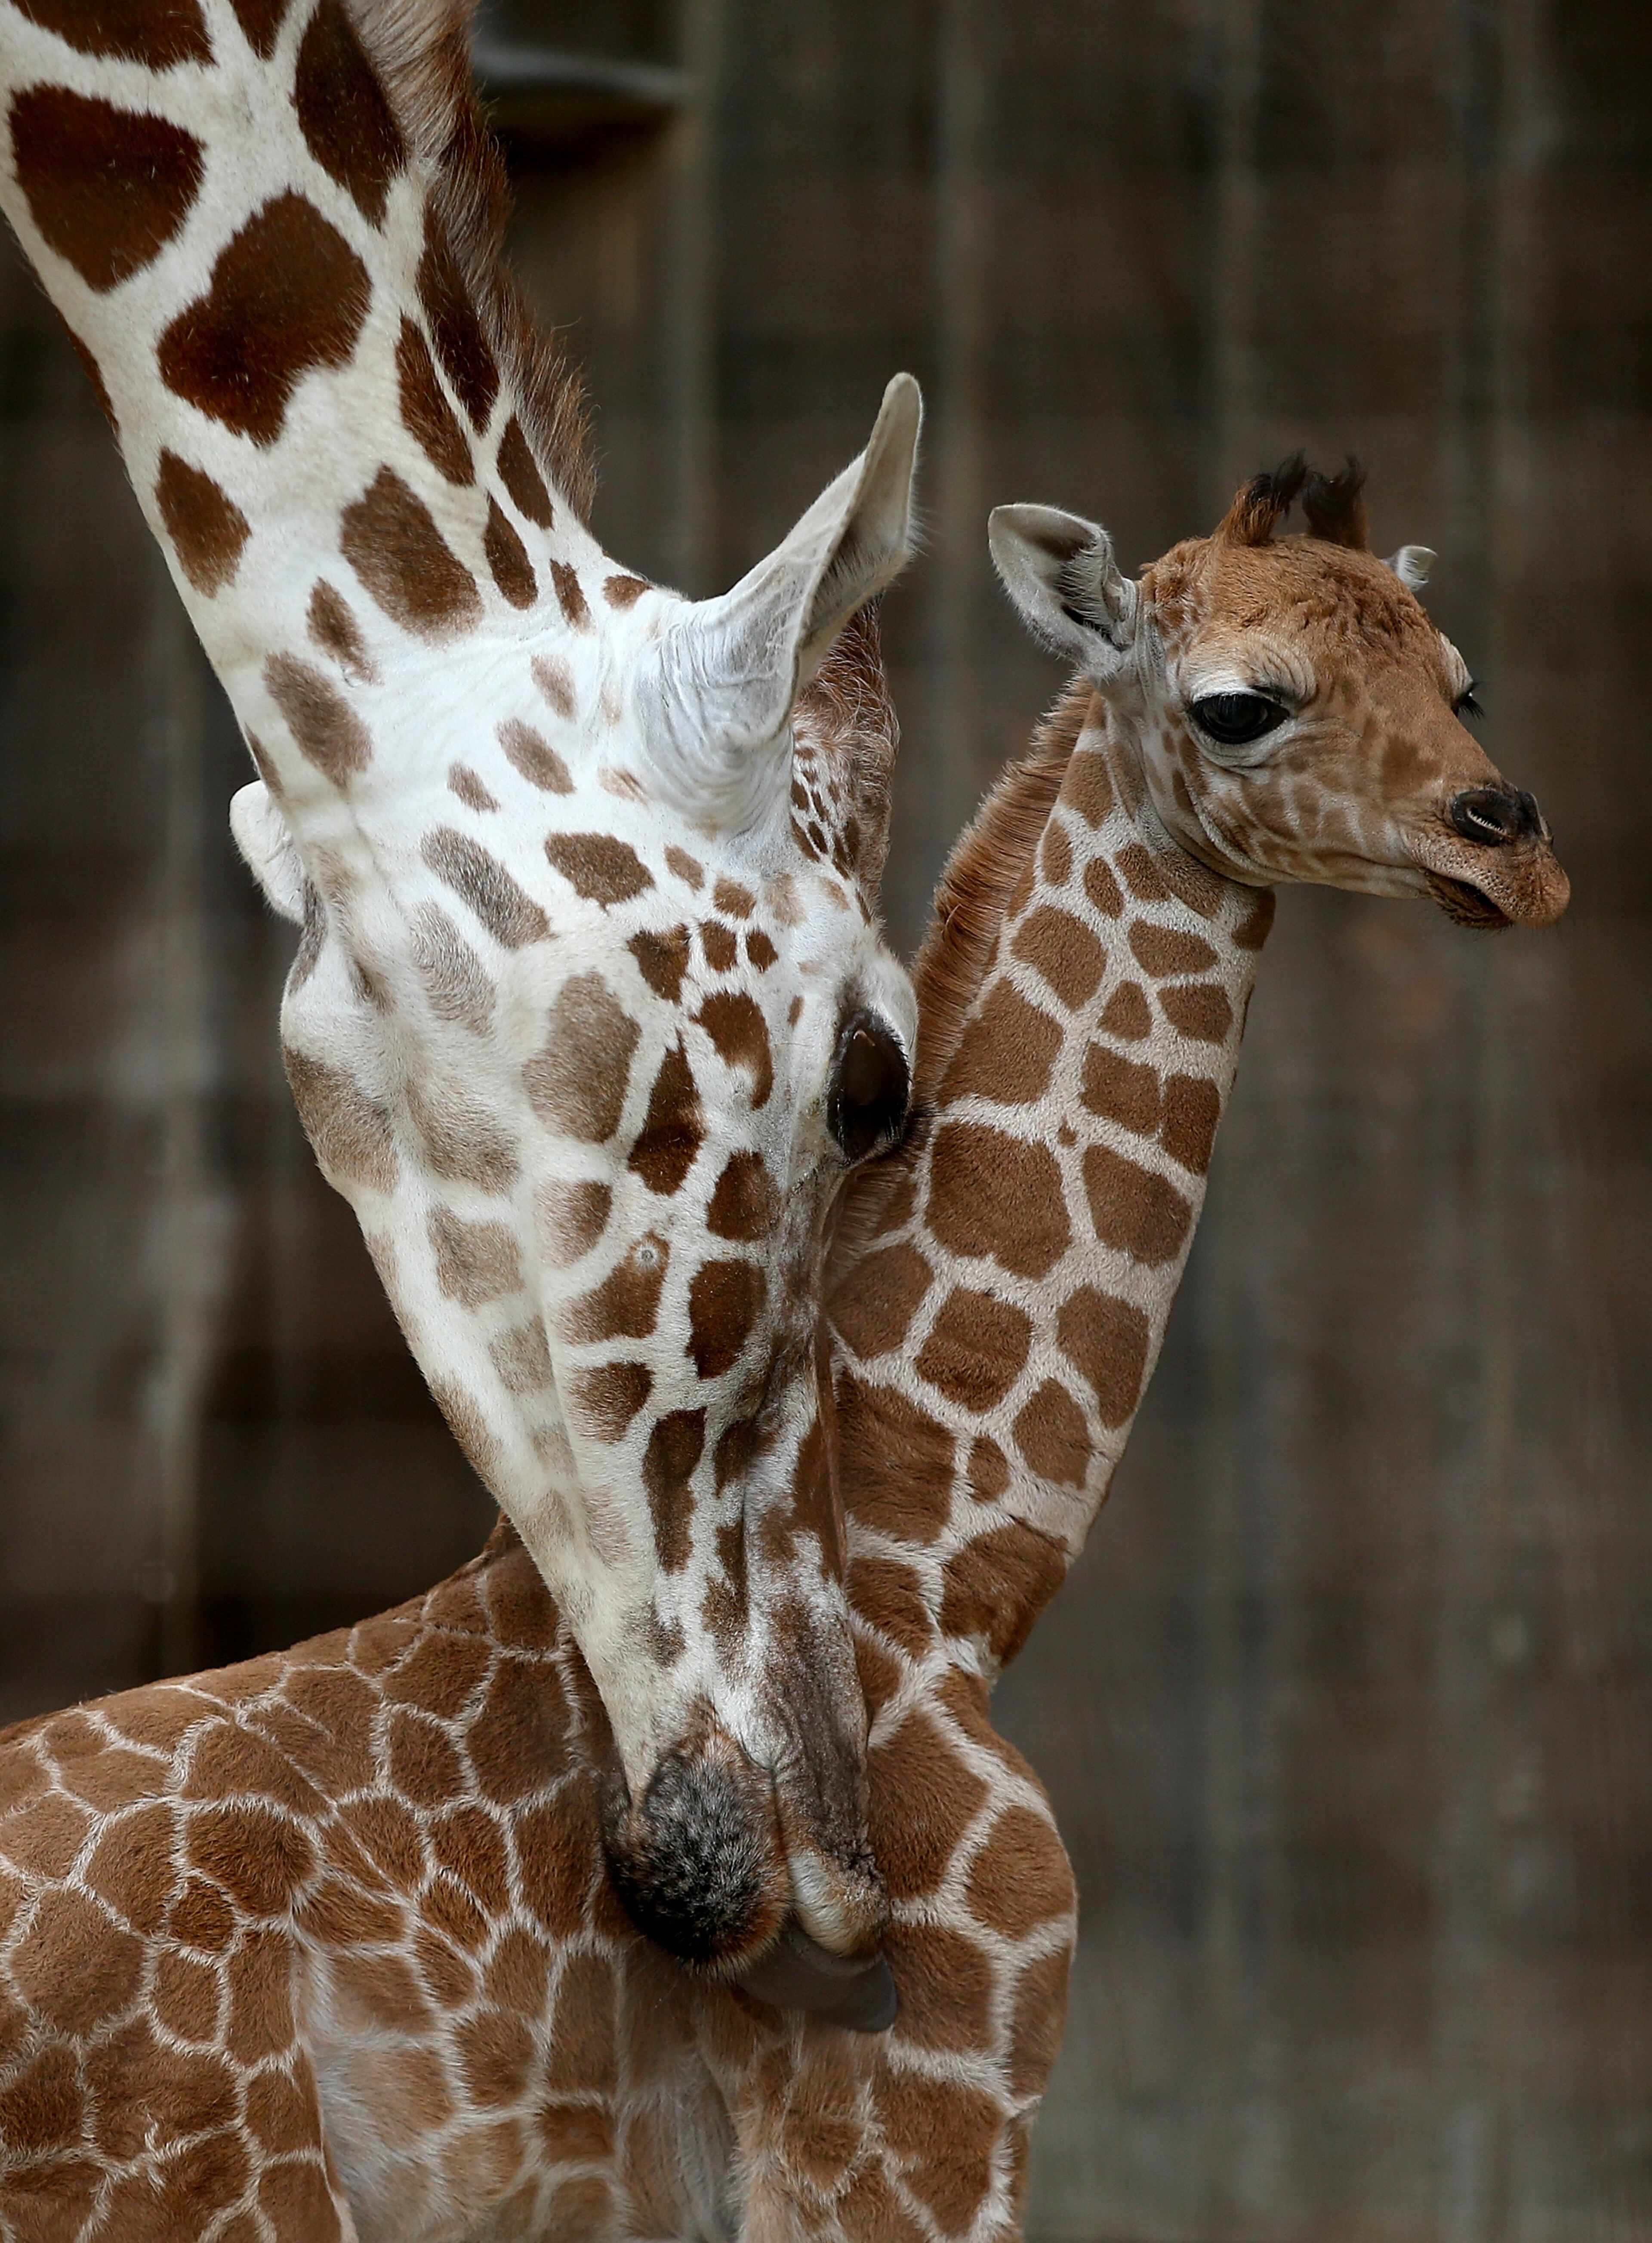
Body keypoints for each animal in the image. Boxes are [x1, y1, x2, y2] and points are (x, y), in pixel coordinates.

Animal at [0, 461, 1569, 2241]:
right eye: (1239, 703)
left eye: (1462, 682)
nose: (1513, 847)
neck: (941, 1578)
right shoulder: (908, 2122)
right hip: (219, 2189)